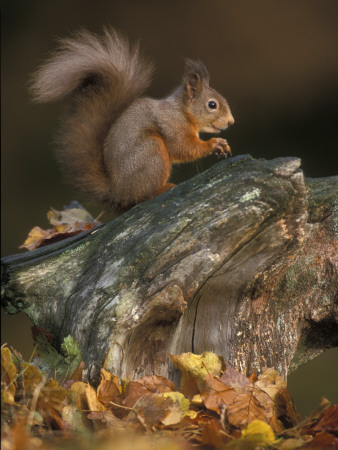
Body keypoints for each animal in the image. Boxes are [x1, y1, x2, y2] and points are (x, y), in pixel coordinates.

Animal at [31, 28, 234, 211]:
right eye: (212, 105)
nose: (231, 121)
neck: (182, 111)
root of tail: (117, 193)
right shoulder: (172, 125)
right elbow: (183, 148)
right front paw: (214, 144)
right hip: (152, 152)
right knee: (140, 197)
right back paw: (162, 189)